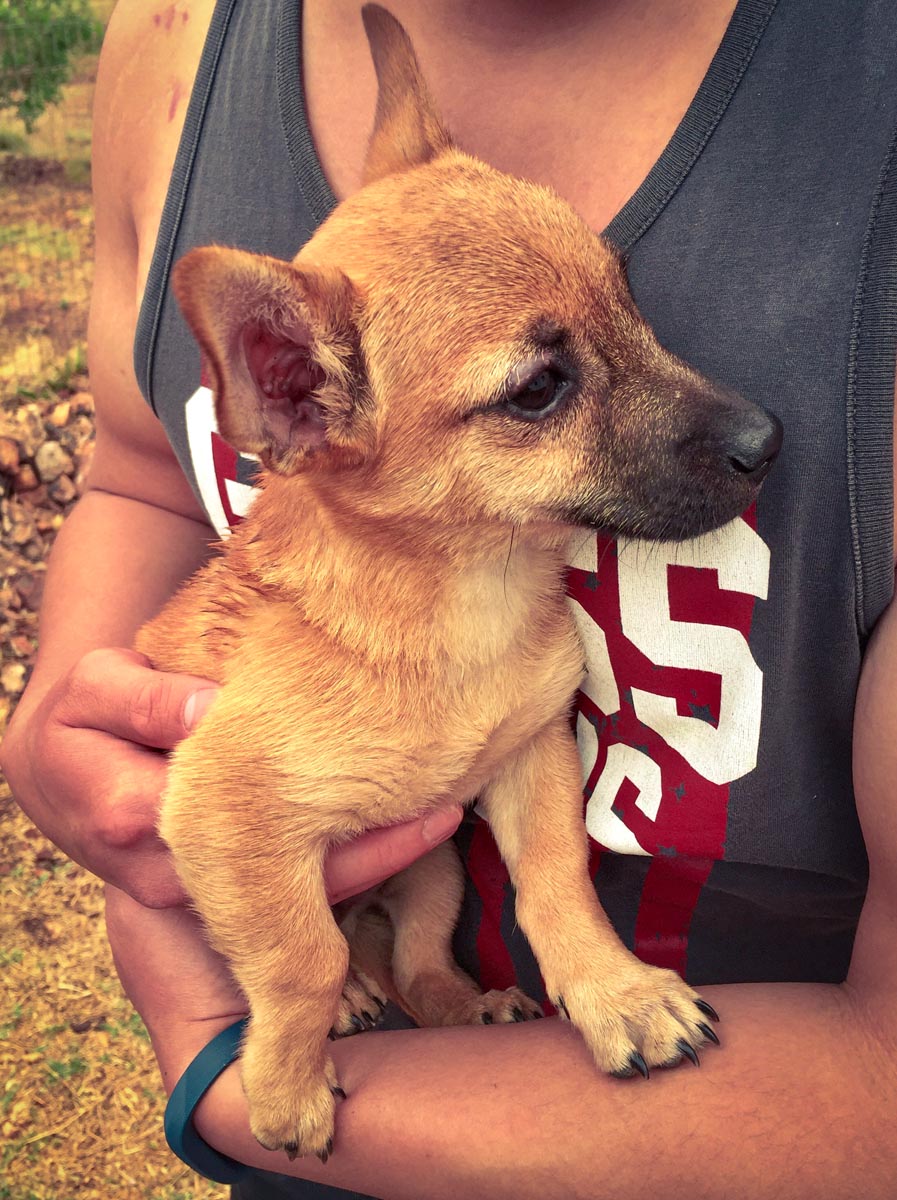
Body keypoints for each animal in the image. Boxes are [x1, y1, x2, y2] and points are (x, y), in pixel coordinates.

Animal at [136, 0, 781, 1161]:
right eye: (537, 391)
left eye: (627, 297)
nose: (769, 441)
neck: (461, 596)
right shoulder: (221, 816)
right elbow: (297, 960)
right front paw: (286, 1084)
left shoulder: (529, 761)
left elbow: (557, 885)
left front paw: (615, 994)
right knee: (340, 956)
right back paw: (349, 1009)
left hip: (431, 867)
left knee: (420, 954)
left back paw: (461, 1001)